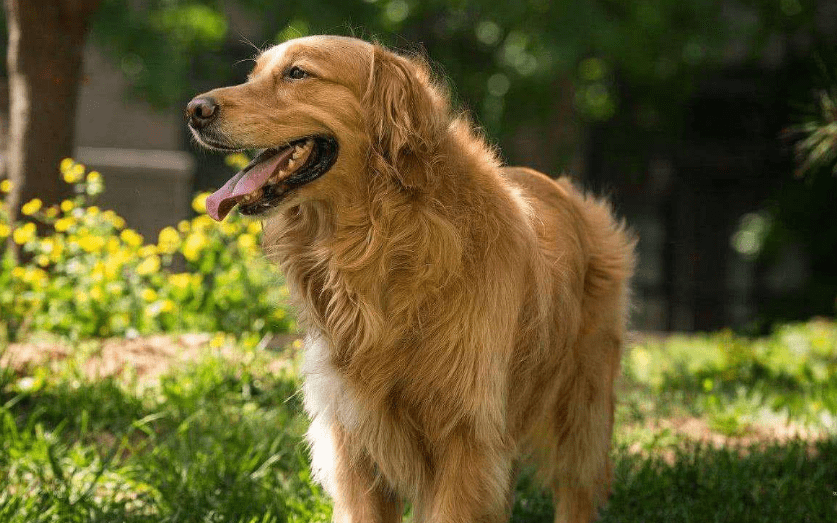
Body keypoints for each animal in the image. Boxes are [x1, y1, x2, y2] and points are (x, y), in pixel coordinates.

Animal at [188, 35, 632, 523]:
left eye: (298, 73)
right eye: (253, 74)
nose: (195, 109)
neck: (382, 242)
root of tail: (568, 191)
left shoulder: (466, 440)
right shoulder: (356, 441)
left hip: (583, 411)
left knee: (576, 488)